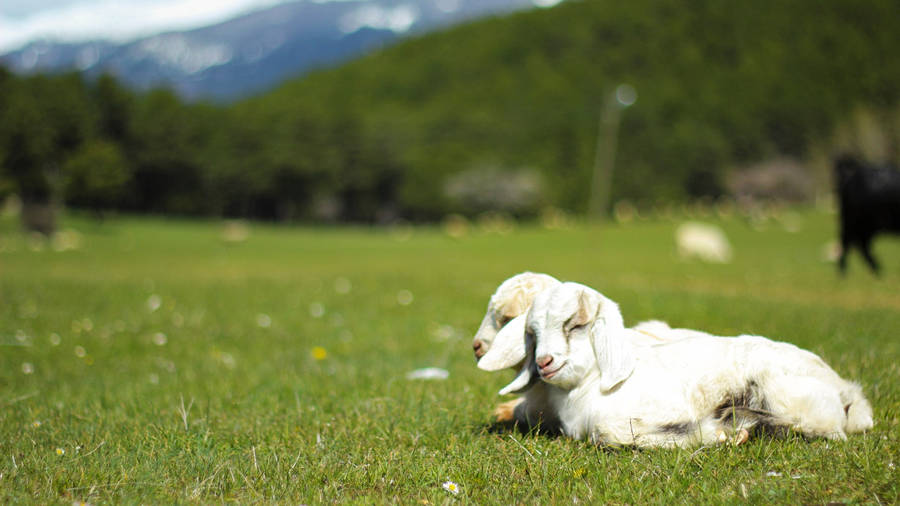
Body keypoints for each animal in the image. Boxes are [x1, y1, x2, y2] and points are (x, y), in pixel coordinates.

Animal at [500, 282, 872, 448]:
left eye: (576, 325)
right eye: (532, 333)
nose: (544, 362)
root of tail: (847, 391)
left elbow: (611, 432)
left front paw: (719, 433)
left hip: (787, 396)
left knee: (822, 428)